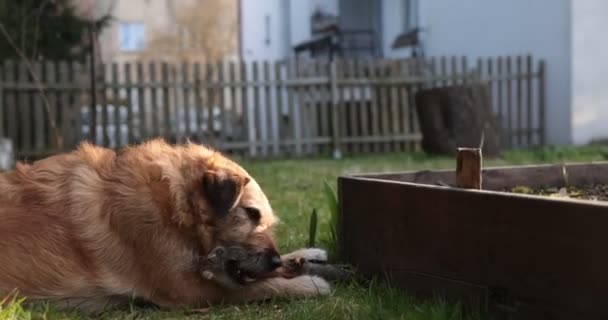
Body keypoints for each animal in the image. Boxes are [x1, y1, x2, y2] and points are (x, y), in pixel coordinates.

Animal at [0, 139, 332, 312]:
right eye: (250, 213)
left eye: (266, 220)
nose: (275, 260)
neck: (173, 202)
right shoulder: (188, 289)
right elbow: (257, 287)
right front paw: (308, 284)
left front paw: (306, 255)